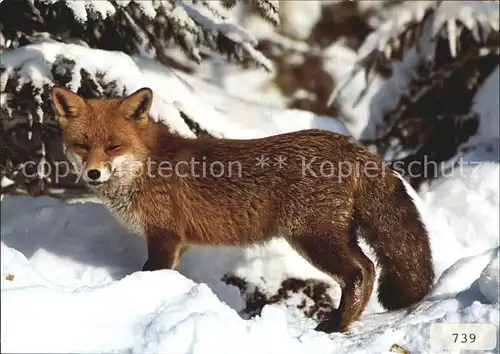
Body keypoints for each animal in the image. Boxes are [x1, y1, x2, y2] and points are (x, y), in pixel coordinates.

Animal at [49, 86, 434, 334]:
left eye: (113, 146)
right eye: (82, 145)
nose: (93, 173)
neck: (144, 168)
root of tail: (350, 144)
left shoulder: (164, 235)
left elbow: (151, 274)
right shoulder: (180, 243)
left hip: (313, 238)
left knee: (361, 271)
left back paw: (338, 325)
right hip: (333, 235)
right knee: (368, 269)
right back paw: (346, 321)